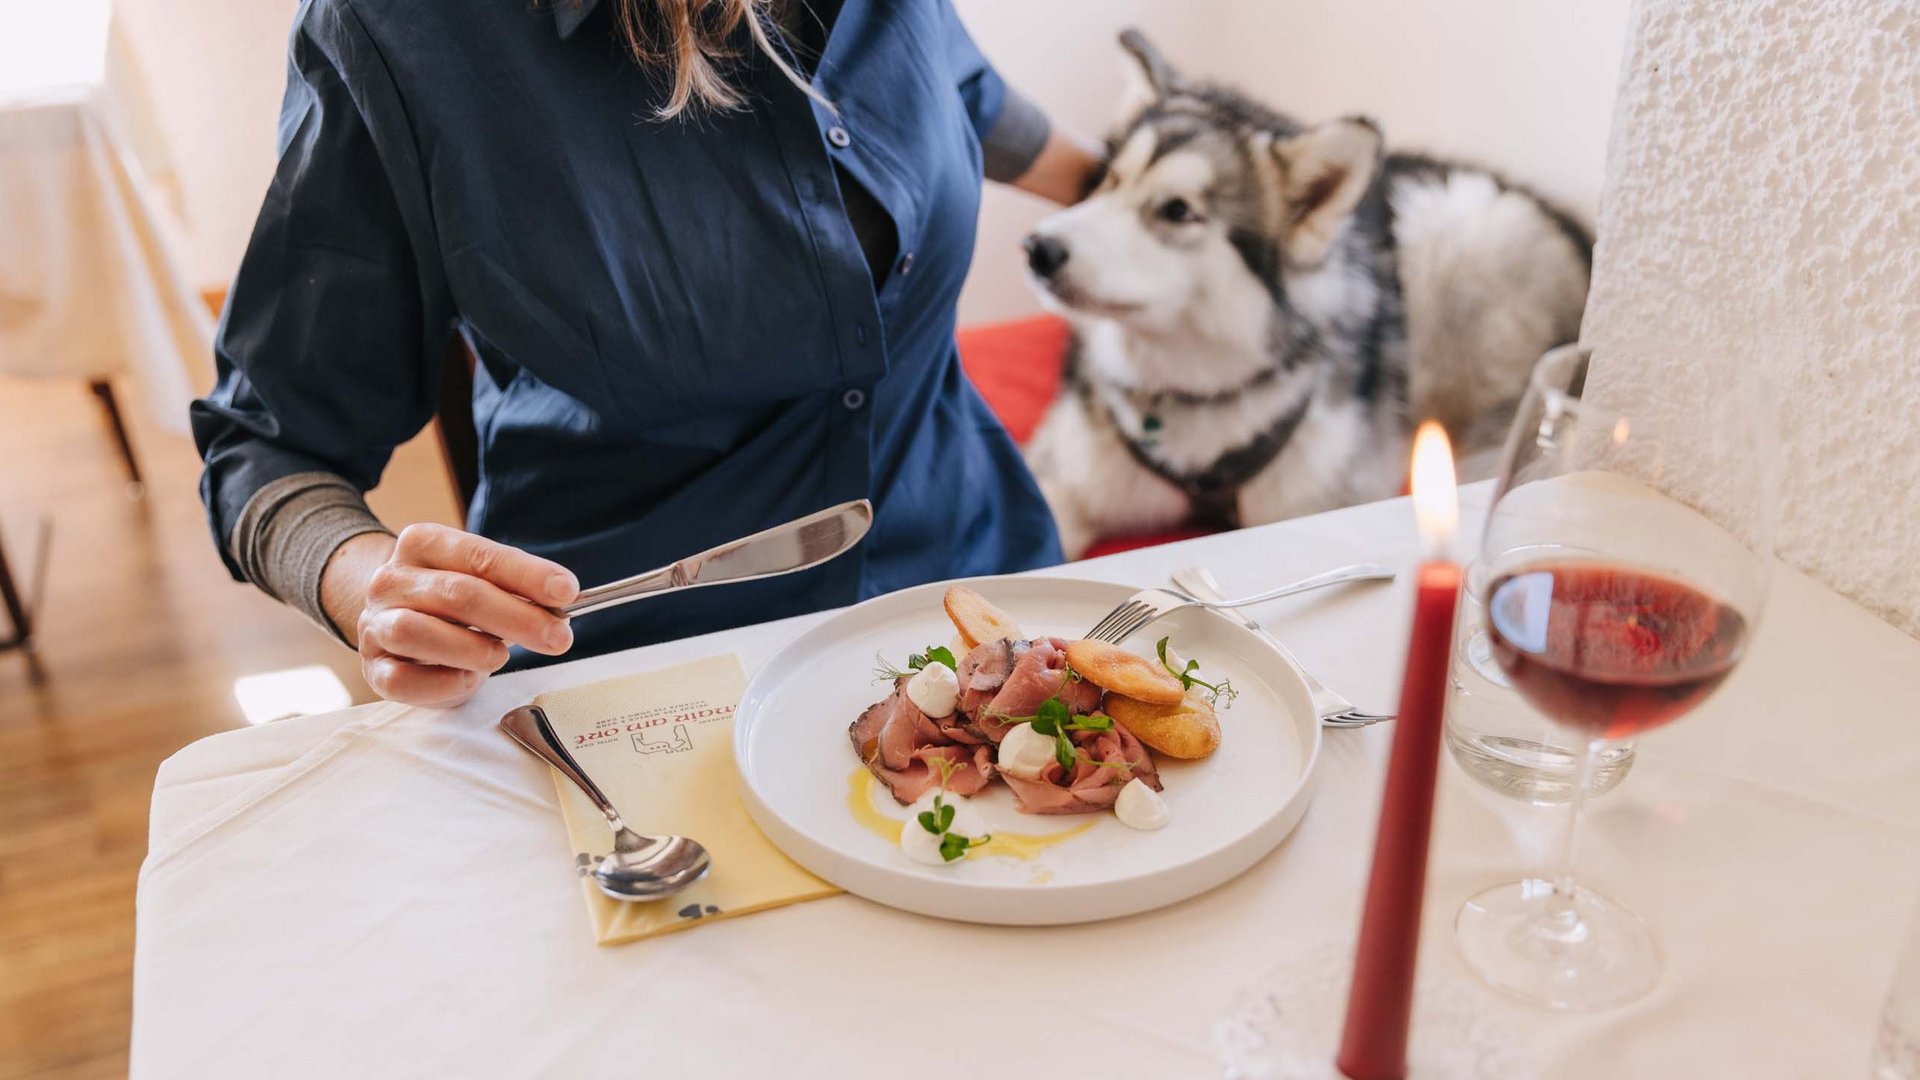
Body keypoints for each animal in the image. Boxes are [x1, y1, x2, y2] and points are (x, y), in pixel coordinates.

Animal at [1029, 31, 1597, 553]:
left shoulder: (1311, 501)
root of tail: (1578, 231)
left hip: (1452, 226)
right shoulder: (1061, 481)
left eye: (1177, 210)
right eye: (1108, 181)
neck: (1191, 389)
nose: (1038, 249)